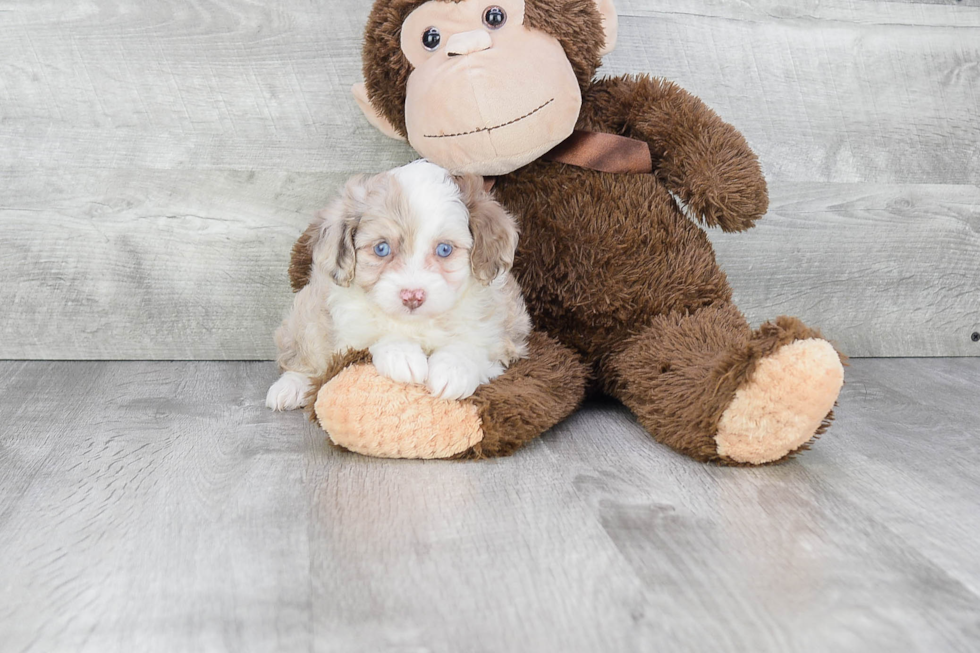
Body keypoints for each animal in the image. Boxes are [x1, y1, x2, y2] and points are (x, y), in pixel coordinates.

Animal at [266, 160, 528, 410]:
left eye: (445, 249)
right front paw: (401, 354)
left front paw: (453, 370)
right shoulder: (348, 324)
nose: (412, 296)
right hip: (307, 317)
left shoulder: (501, 336)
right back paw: (290, 387)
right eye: (382, 248)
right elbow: (374, 332)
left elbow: (473, 344)